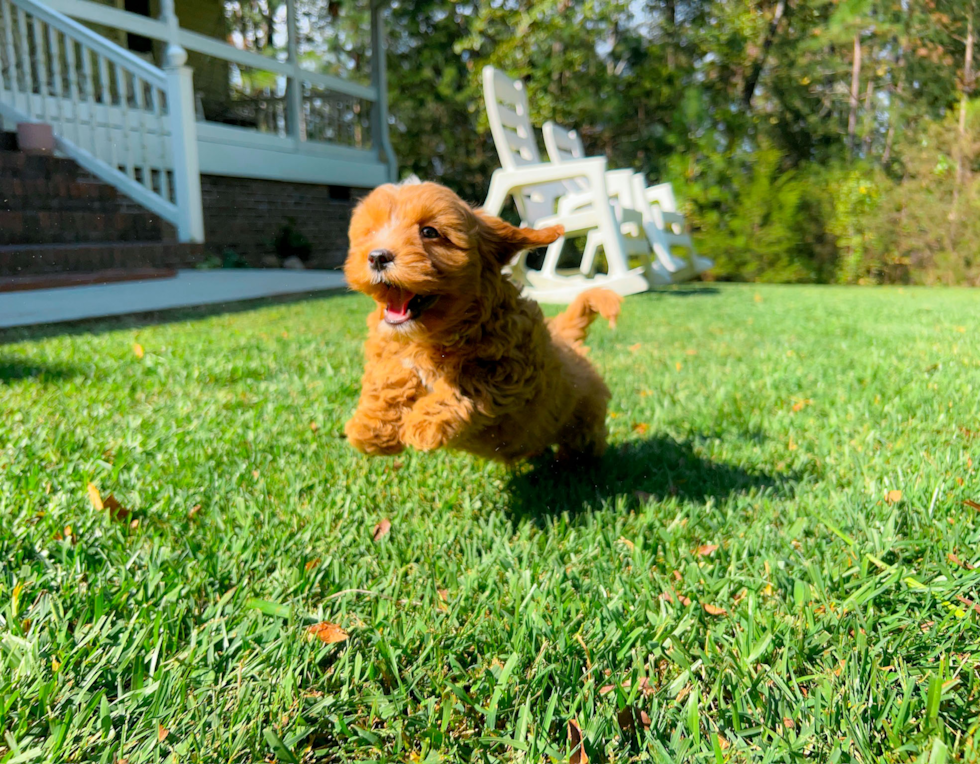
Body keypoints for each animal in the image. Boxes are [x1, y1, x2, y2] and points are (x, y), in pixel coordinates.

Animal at [342, 182, 620, 462]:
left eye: (429, 232)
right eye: (371, 232)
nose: (377, 257)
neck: (429, 337)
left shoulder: (511, 366)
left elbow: (468, 382)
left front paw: (425, 423)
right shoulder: (390, 347)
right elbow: (389, 374)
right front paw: (371, 428)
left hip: (584, 413)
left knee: (586, 438)